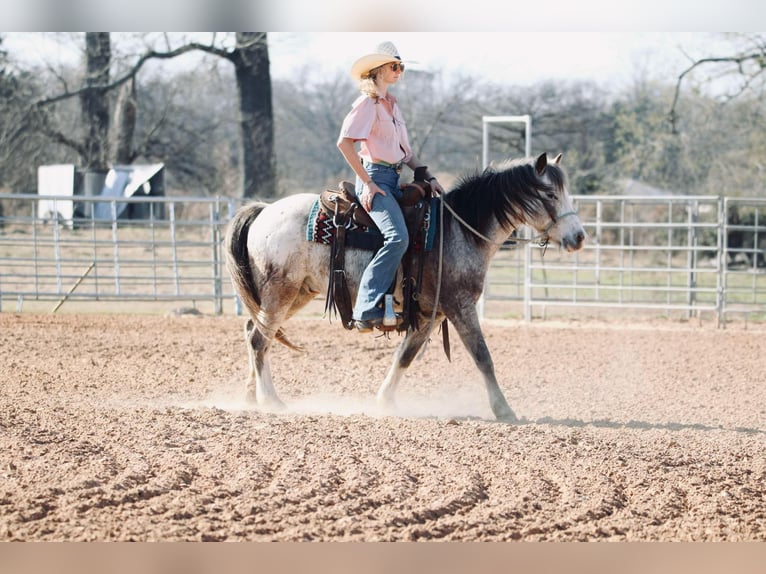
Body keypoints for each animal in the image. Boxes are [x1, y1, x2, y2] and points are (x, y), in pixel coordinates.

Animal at [224, 153, 588, 424]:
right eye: (550, 194)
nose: (579, 237)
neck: (457, 231)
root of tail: (264, 210)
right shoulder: (460, 306)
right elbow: (483, 356)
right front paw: (504, 410)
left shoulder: (430, 314)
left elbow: (405, 356)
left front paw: (384, 401)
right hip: (280, 292)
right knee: (259, 340)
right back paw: (271, 400)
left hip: (295, 294)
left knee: (254, 332)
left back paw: (250, 397)